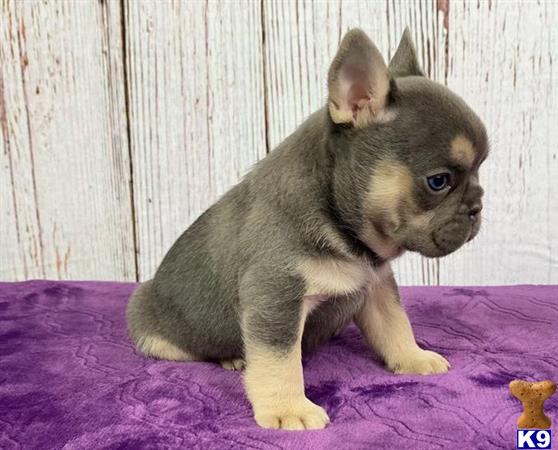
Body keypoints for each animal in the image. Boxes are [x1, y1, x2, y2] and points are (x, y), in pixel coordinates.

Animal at [127, 27, 490, 428]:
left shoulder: (376, 285)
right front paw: (289, 409)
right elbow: (279, 360)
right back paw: (231, 356)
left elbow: (396, 324)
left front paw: (413, 357)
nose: (476, 207)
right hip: (157, 328)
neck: (339, 220)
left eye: (479, 171)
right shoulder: (276, 296)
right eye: (438, 181)